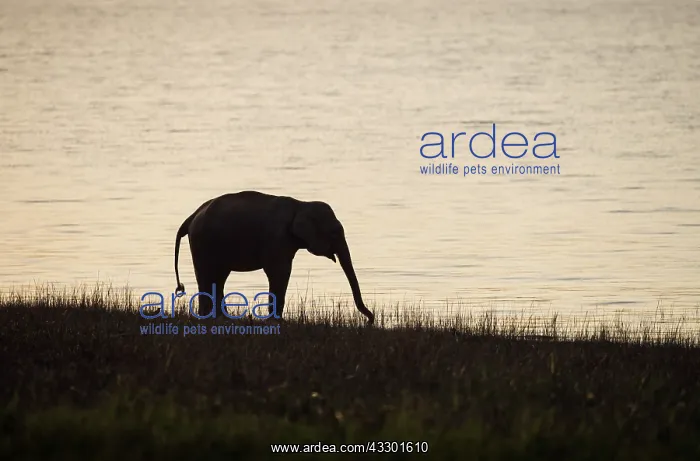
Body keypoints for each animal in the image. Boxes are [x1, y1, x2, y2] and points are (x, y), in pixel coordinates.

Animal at [173, 190, 375, 325]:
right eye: (335, 233)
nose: (370, 319)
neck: (301, 204)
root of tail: (191, 217)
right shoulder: (277, 238)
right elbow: (280, 272)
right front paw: (278, 321)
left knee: (218, 277)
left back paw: (218, 317)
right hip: (202, 242)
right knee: (207, 275)